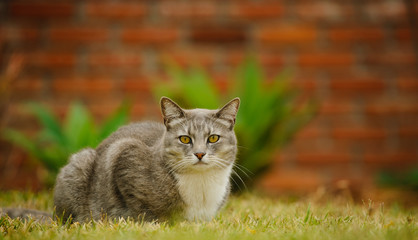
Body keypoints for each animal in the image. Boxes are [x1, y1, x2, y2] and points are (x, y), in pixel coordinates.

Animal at [51, 96, 240, 223]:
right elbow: (141, 209)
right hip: (80, 164)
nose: (200, 153)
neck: (201, 182)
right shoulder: (123, 154)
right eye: (185, 139)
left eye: (213, 138)